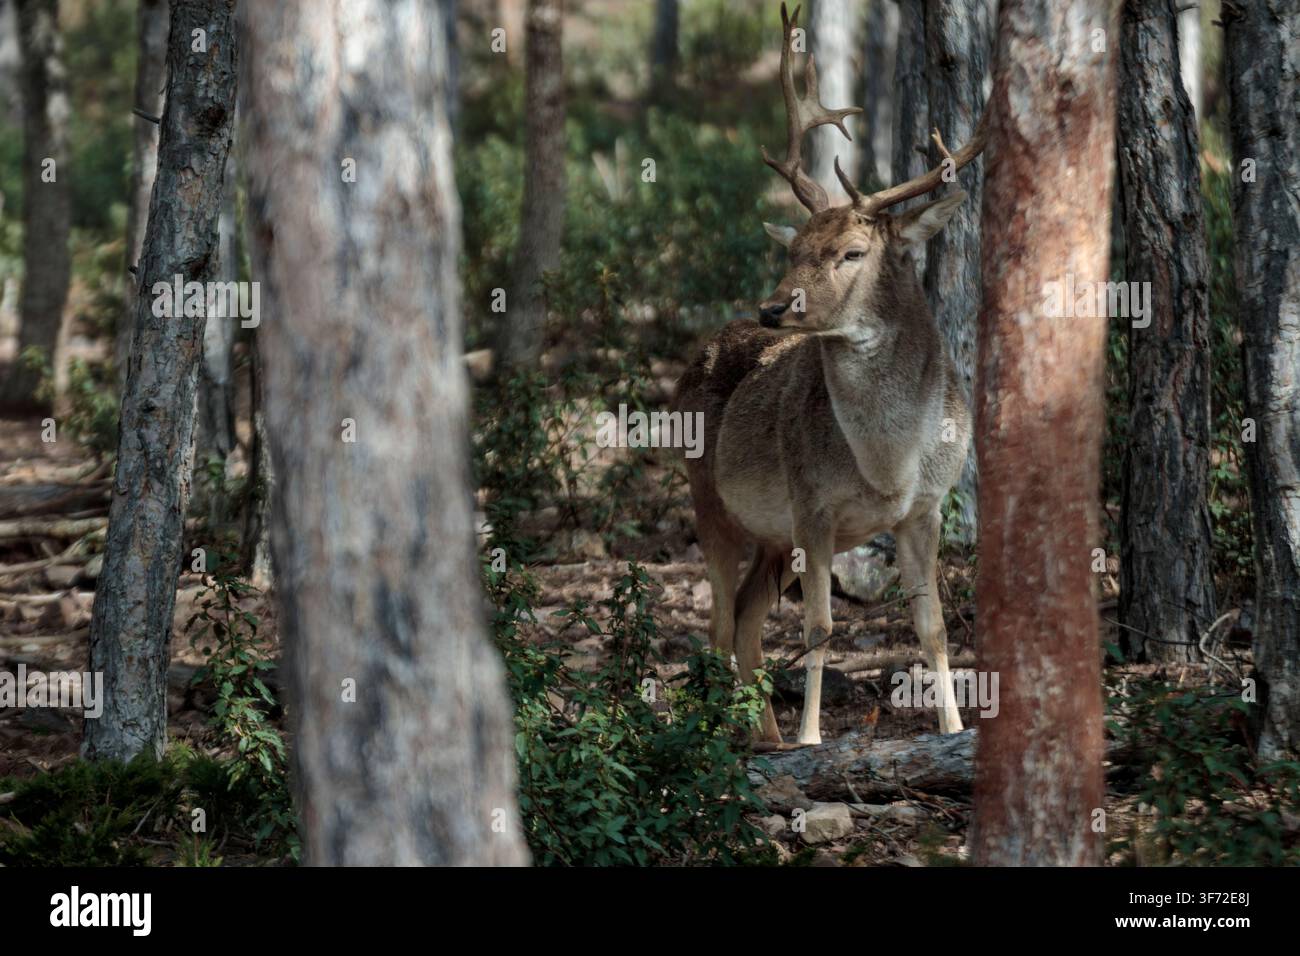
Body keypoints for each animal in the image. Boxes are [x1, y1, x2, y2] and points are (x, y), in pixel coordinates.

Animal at [673, 3, 987, 747]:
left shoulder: (925, 508)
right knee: (718, 623)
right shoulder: (812, 504)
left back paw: (765, 737)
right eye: (794, 250)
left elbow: (933, 627)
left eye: (851, 252)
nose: (771, 307)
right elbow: (820, 627)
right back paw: (734, 740)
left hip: (769, 535)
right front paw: (815, 740)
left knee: (747, 617)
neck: (887, 462)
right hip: (708, 497)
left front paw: (953, 730)